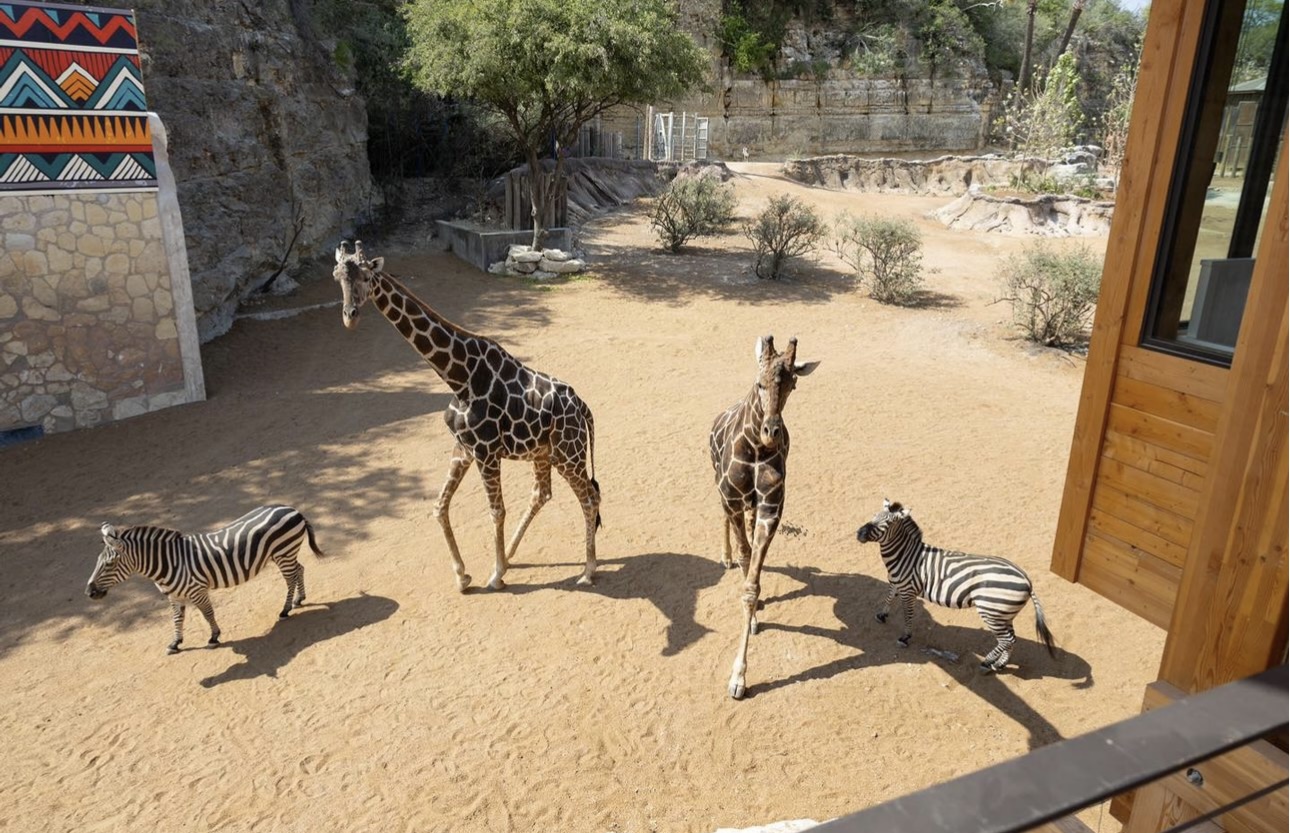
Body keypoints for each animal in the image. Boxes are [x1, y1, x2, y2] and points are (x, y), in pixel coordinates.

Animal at [332, 240, 601, 592]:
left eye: (366, 276)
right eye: (337, 276)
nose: (349, 317)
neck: (458, 377)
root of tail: (583, 407)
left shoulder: (486, 452)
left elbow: (496, 511)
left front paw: (495, 576)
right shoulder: (463, 448)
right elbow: (439, 506)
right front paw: (462, 575)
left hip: (569, 454)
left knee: (589, 499)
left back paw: (587, 570)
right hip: (544, 453)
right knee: (542, 494)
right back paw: (512, 553)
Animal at [709, 334, 819, 699]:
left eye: (793, 384)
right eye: (760, 382)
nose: (772, 432)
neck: (756, 449)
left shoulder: (771, 509)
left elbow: (752, 585)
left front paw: (739, 676)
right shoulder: (730, 496)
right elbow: (746, 560)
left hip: (752, 505)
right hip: (719, 485)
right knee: (724, 518)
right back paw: (725, 556)